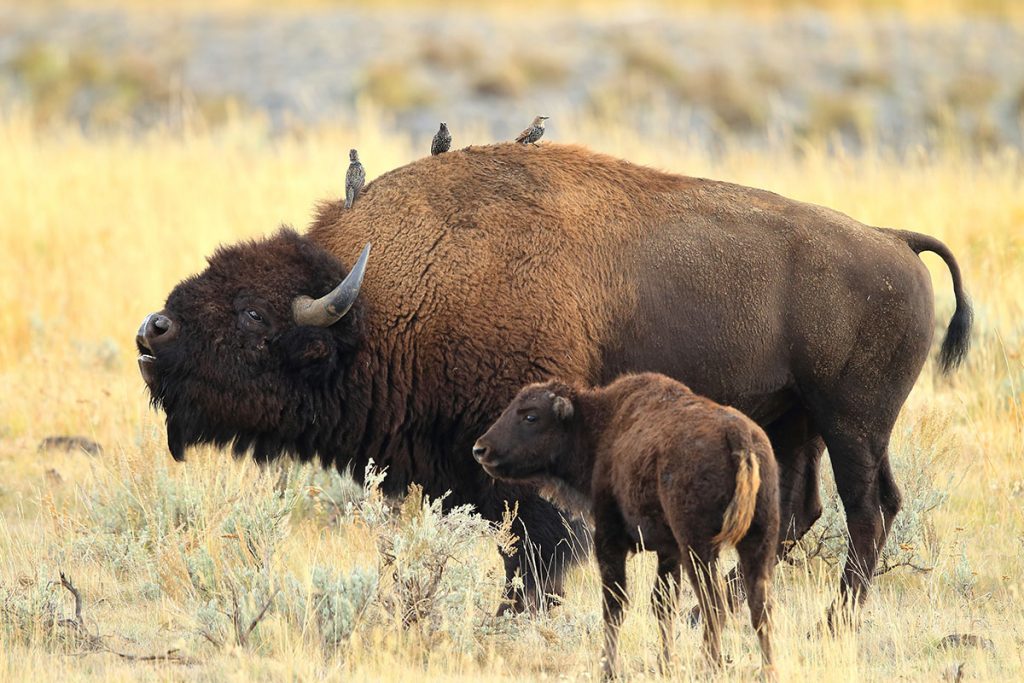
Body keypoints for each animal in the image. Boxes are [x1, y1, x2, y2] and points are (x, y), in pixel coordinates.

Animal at [136, 141, 966, 618]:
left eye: (252, 314)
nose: (153, 332)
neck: (381, 300)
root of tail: (893, 239)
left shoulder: (520, 458)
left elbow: (535, 545)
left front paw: (516, 614)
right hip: (793, 425)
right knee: (800, 512)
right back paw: (724, 605)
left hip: (853, 422)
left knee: (869, 509)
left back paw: (836, 616)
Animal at [475, 374, 778, 679]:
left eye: (531, 416)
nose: (481, 449)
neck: (601, 425)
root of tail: (737, 436)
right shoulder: (668, 551)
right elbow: (663, 604)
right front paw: (664, 665)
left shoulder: (610, 539)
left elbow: (615, 605)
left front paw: (608, 669)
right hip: (758, 541)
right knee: (759, 607)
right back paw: (767, 672)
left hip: (699, 547)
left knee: (714, 604)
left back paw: (709, 669)